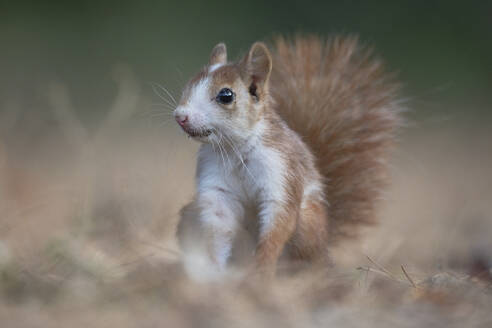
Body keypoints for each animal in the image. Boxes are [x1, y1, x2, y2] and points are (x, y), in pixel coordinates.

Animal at [175, 36, 402, 276]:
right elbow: (218, 228)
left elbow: (278, 222)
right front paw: (214, 270)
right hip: (190, 216)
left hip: (307, 226)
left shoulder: (280, 168)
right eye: (188, 85)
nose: (180, 116)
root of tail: (325, 246)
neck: (234, 149)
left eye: (226, 95)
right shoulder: (216, 187)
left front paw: (262, 268)